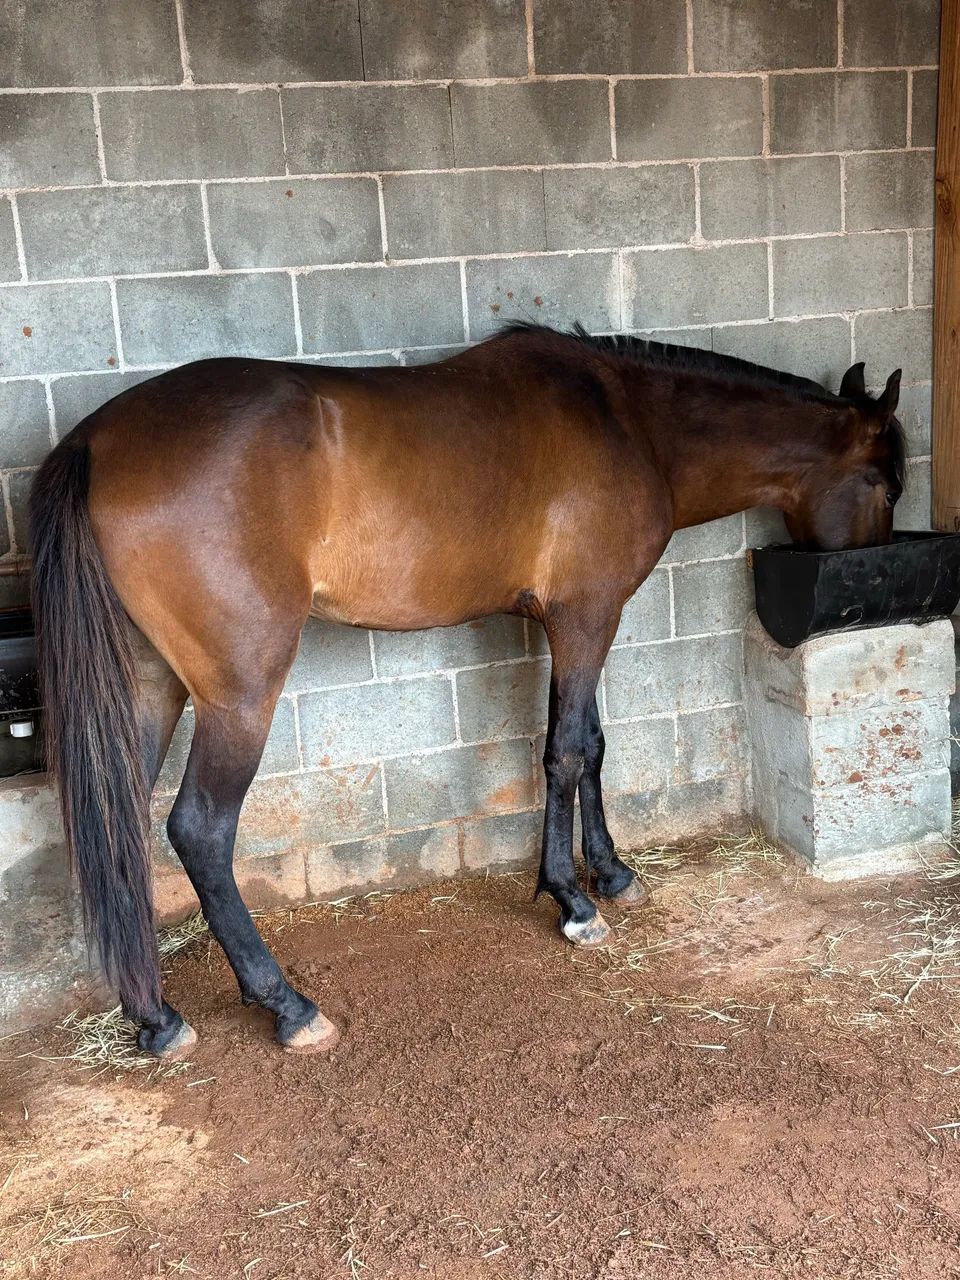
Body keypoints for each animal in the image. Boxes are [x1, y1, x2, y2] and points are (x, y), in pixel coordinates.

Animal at [28, 322, 905, 1059]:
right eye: (882, 480)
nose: (870, 573)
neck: (631, 422)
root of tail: (95, 441)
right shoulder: (586, 616)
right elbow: (567, 752)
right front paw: (572, 901)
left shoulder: (566, 621)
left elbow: (590, 744)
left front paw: (612, 875)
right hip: (237, 695)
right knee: (201, 831)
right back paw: (287, 1006)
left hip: (147, 687)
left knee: (116, 816)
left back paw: (155, 1016)